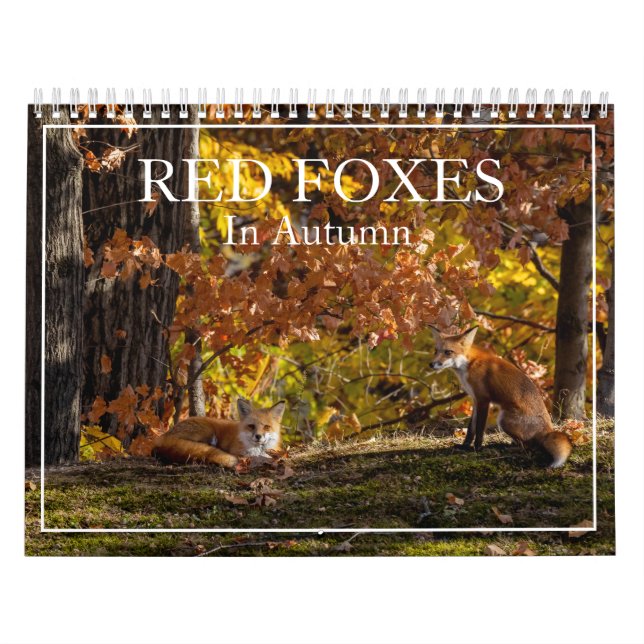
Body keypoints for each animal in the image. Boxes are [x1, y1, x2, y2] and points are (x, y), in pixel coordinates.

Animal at [152, 398, 286, 469]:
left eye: (267, 427)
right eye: (251, 426)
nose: (258, 436)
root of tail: (162, 439)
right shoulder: (239, 452)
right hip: (208, 431)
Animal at [429, 326, 572, 468]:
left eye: (448, 352)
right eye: (436, 351)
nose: (431, 364)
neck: (469, 364)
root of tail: (548, 430)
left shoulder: (483, 399)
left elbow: (479, 428)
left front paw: (477, 448)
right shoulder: (475, 400)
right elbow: (471, 428)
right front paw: (464, 446)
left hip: (503, 419)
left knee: (530, 445)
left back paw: (510, 448)